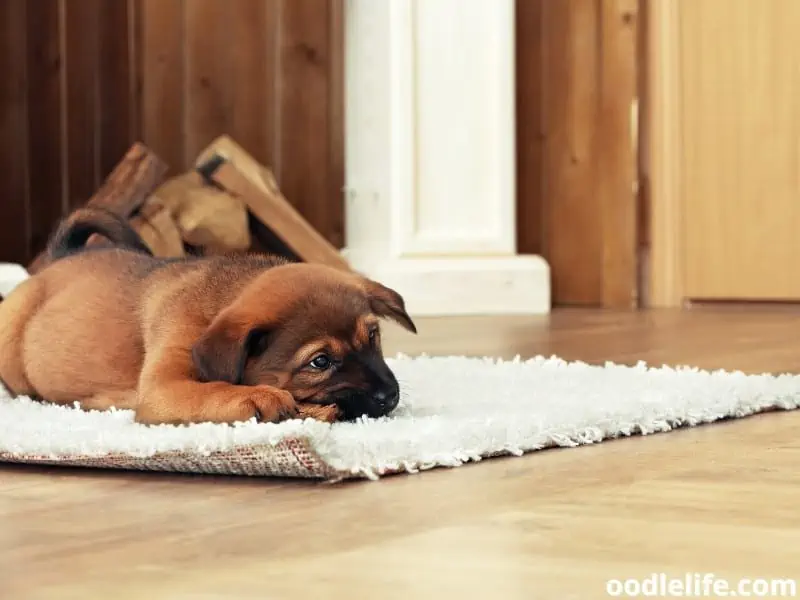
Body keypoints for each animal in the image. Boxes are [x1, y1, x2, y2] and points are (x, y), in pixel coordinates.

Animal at [0, 209, 416, 424]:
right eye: (320, 362)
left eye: (374, 337)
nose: (390, 396)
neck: (217, 302)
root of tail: (59, 258)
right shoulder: (163, 388)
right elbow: (217, 389)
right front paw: (263, 397)